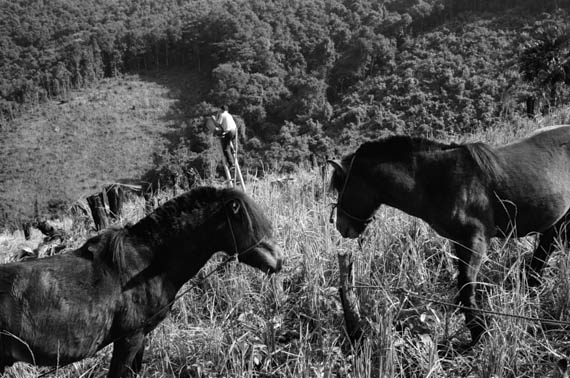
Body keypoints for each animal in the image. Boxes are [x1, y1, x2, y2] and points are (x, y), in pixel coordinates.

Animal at [326, 125, 568, 344]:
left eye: (342, 188)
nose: (340, 226)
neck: (441, 180)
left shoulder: (476, 240)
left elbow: (466, 284)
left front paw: (479, 331)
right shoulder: (459, 241)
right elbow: (462, 283)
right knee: (546, 248)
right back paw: (531, 287)